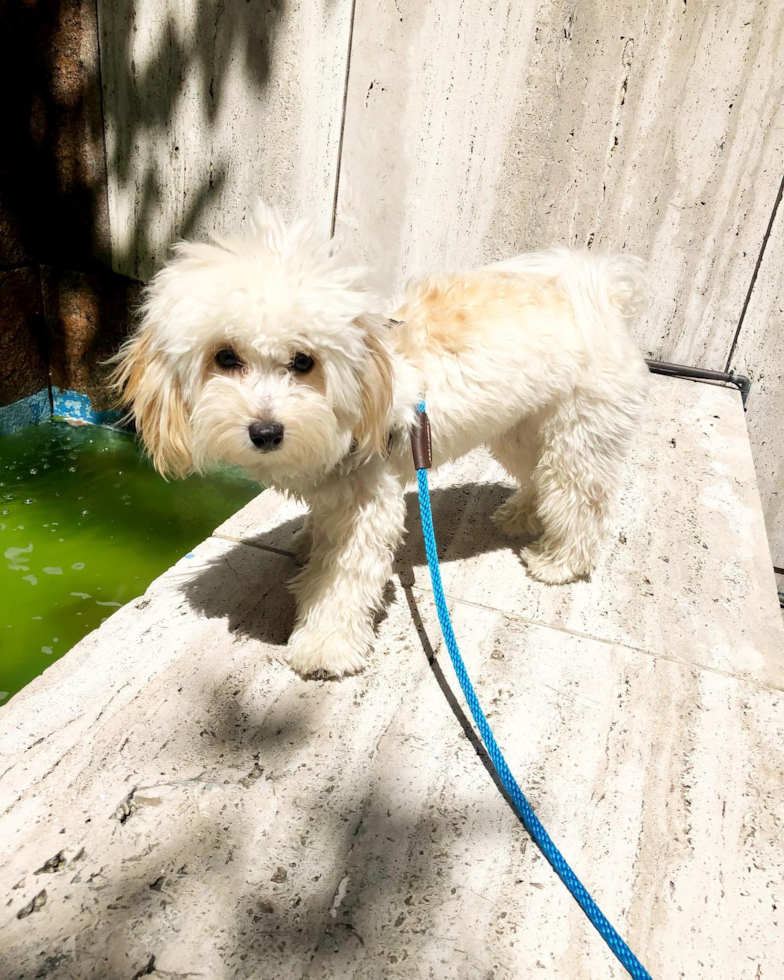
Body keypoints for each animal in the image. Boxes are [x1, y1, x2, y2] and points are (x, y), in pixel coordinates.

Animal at [112, 203, 648, 676]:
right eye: (224, 357)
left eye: (304, 361)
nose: (266, 432)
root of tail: (599, 292)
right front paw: (307, 540)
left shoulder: (366, 504)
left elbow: (341, 579)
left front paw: (324, 646)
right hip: (520, 428)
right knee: (538, 475)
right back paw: (521, 515)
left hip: (577, 434)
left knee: (582, 499)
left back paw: (561, 562)